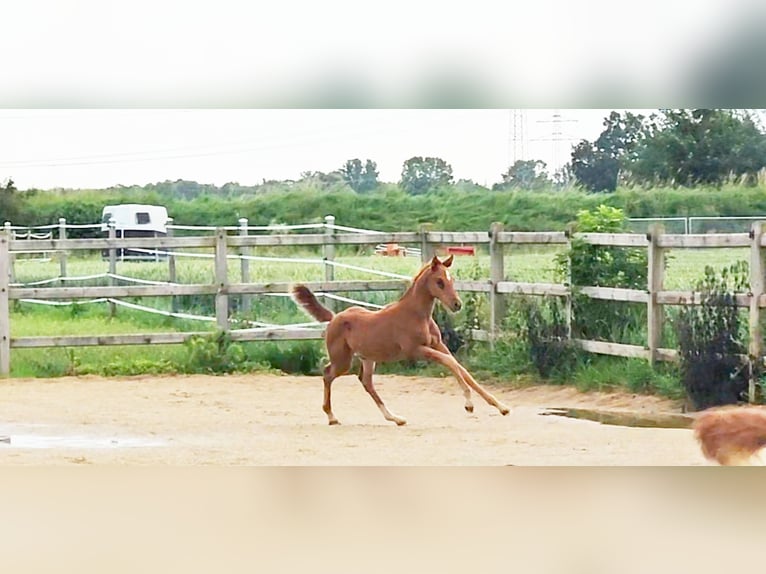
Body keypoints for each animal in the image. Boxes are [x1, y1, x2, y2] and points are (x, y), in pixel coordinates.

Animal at [292, 254, 512, 426]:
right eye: (439, 281)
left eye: (452, 279)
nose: (457, 304)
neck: (416, 314)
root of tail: (334, 317)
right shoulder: (415, 350)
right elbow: (450, 363)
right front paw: (469, 403)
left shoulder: (438, 345)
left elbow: (461, 369)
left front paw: (501, 406)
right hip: (342, 360)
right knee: (328, 374)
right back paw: (332, 417)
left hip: (367, 358)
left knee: (366, 382)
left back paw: (395, 418)